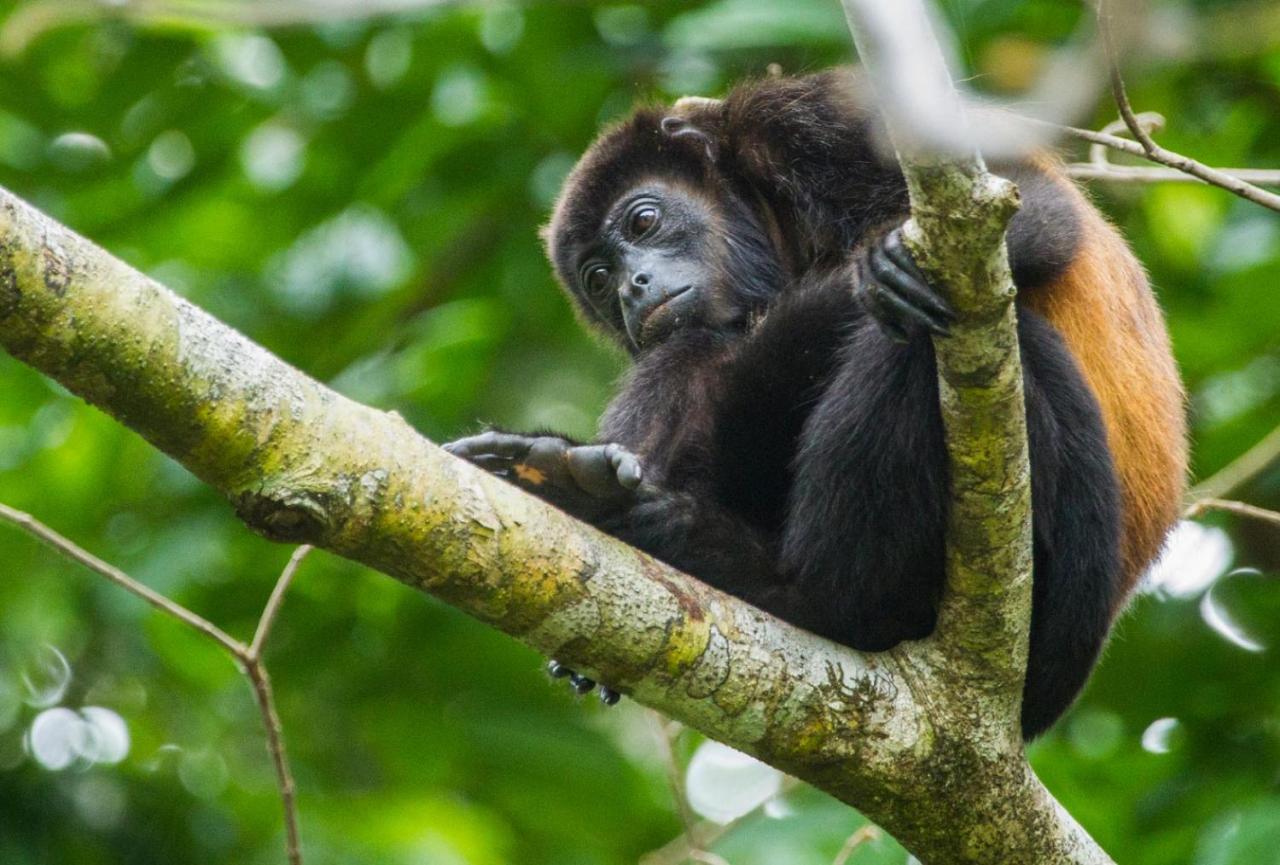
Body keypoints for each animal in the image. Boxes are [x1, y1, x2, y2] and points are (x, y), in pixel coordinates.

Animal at [445, 71, 1182, 742]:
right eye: (597, 279)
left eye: (644, 220)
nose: (632, 288)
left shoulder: (820, 120)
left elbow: (1037, 217)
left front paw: (882, 272)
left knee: (942, 344)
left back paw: (798, 591)